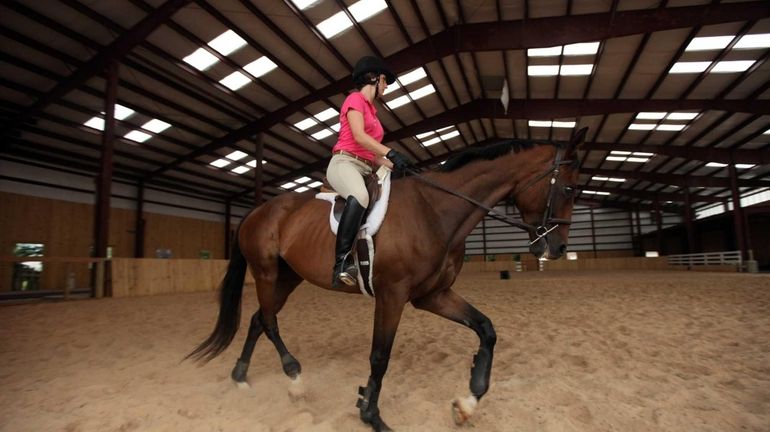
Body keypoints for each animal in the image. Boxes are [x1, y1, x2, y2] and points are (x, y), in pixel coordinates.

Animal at [189, 129, 584, 432]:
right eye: (568, 190)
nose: (559, 248)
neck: (434, 210)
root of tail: (258, 210)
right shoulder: (392, 294)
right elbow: (380, 356)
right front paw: (371, 414)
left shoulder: (433, 294)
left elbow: (486, 329)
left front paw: (467, 403)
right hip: (267, 272)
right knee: (269, 321)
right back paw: (295, 378)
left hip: (288, 278)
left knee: (259, 319)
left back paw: (241, 376)